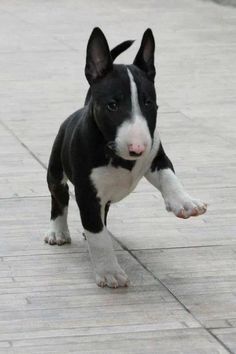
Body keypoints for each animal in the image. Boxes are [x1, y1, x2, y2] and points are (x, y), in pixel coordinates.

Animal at [44, 27, 206, 288]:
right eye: (112, 105)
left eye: (149, 103)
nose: (137, 148)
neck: (114, 152)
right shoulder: (87, 193)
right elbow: (98, 236)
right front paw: (109, 272)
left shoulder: (156, 155)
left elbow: (169, 175)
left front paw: (185, 203)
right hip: (56, 169)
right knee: (59, 197)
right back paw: (58, 232)